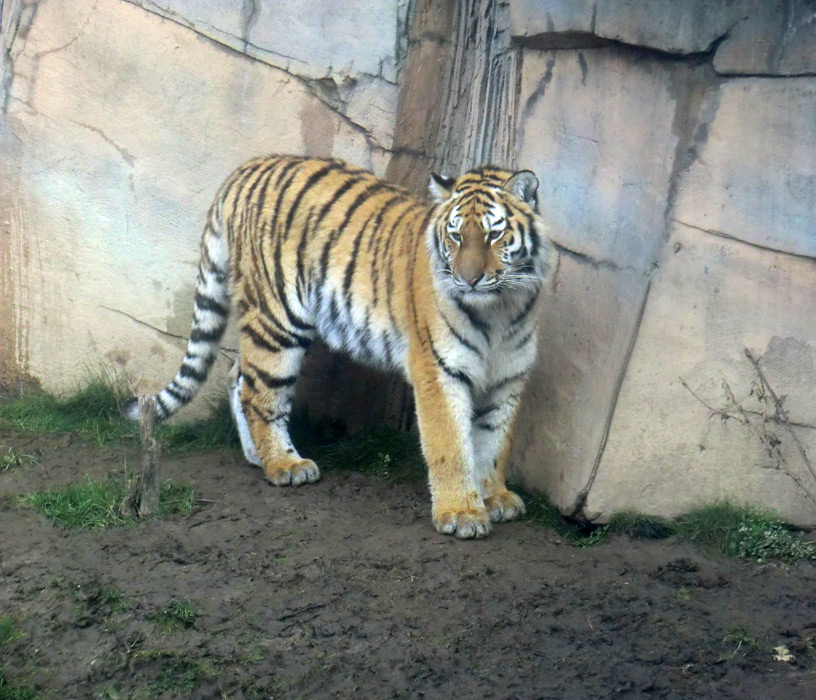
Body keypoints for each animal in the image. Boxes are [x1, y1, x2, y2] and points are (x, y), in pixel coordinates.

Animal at [124, 156, 552, 540]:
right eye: (456, 236)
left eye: (494, 235)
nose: (468, 279)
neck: (500, 310)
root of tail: (247, 168)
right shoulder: (438, 368)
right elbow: (450, 443)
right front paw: (461, 514)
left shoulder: (509, 377)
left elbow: (494, 442)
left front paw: (494, 499)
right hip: (277, 318)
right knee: (259, 391)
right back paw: (284, 465)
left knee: (238, 375)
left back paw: (257, 455)